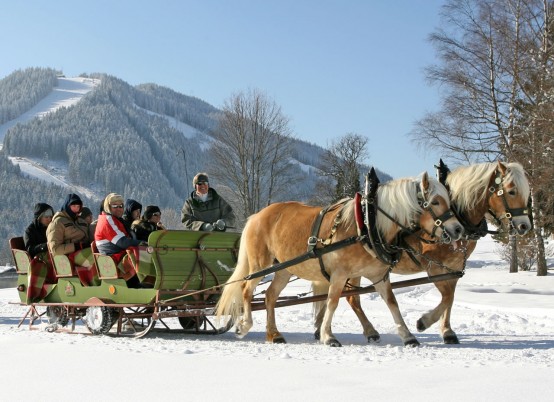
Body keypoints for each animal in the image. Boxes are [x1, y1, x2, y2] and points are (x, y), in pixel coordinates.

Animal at [216, 171, 462, 348]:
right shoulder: (339, 274)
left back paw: (273, 334)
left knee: (270, 296)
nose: (458, 229)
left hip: (285, 268)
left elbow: (392, 302)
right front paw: (328, 336)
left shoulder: (378, 275)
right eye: (435, 202)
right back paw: (244, 325)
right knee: (247, 289)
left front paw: (408, 334)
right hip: (260, 263)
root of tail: (257, 216)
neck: (367, 226)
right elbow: (333, 301)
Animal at [316, 160, 532, 346]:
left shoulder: (452, 269)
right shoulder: (434, 268)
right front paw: (425, 322)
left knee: (350, 298)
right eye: (512, 191)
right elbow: (447, 297)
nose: (525, 226)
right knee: (350, 298)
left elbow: (450, 298)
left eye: (527, 193)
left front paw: (447, 331)